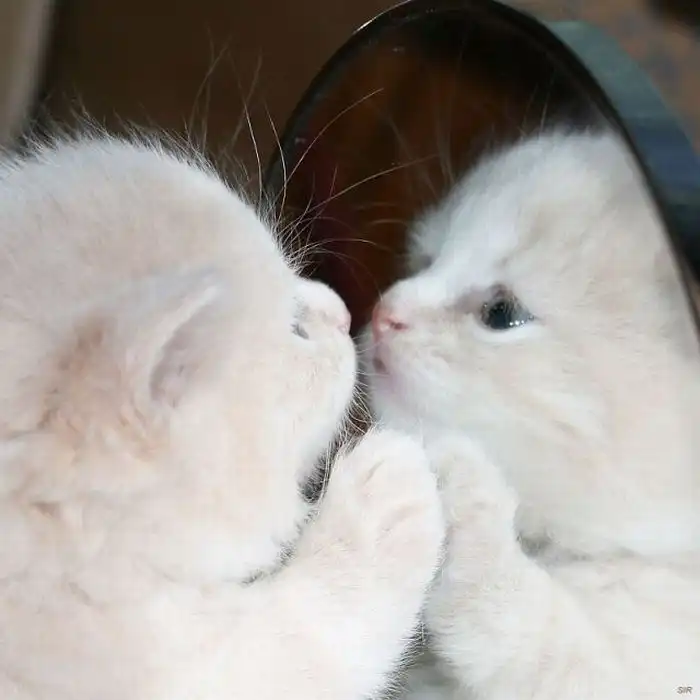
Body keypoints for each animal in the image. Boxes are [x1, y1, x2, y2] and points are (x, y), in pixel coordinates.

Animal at [362, 128, 700, 699]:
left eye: (501, 313)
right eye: (424, 261)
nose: (383, 312)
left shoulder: (631, 668)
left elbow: (526, 625)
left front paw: (460, 476)